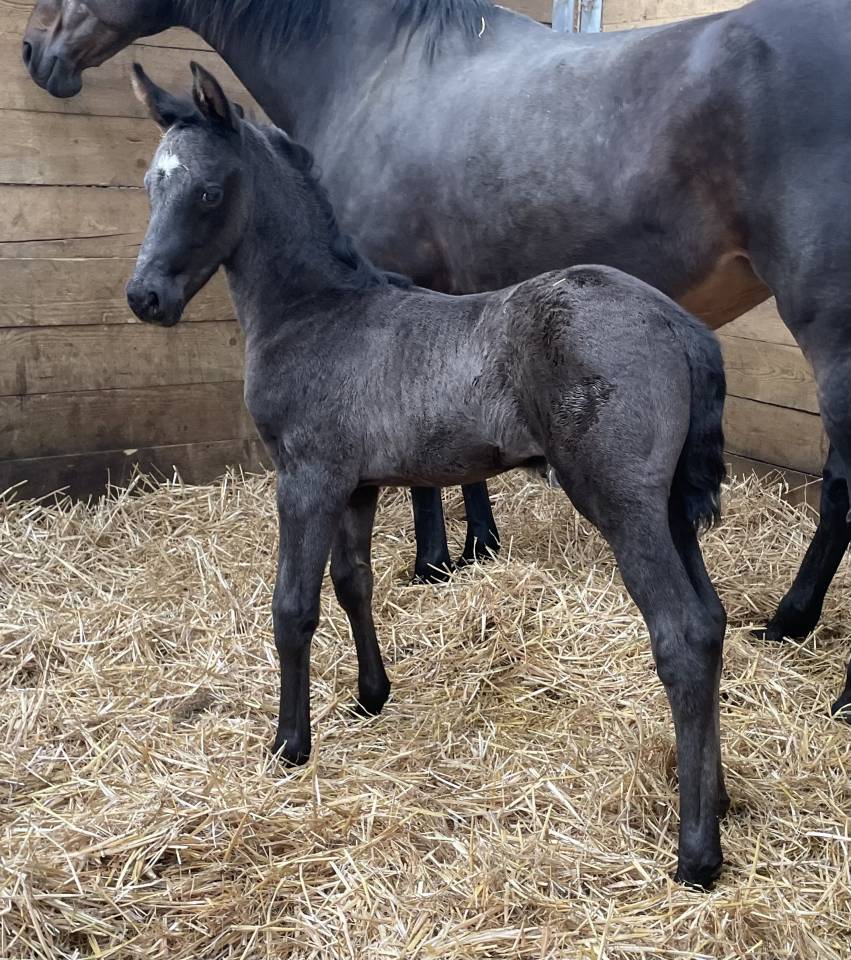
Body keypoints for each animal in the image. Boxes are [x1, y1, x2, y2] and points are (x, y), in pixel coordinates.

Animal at [22, 0, 851, 714]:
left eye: (206, 194)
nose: (35, 51)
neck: (370, 63)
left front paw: (432, 562)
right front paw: (476, 547)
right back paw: (787, 625)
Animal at [126, 61, 729, 888]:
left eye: (210, 192)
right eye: (151, 184)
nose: (144, 297)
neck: (316, 312)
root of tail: (678, 322)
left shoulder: (305, 479)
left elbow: (292, 608)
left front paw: (289, 745)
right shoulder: (356, 485)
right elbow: (352, 585)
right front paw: (370, 696)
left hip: (623, 504)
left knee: (681, 635)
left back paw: (696, 853)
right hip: (670, 507)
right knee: (712, 621)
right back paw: (722, 802)